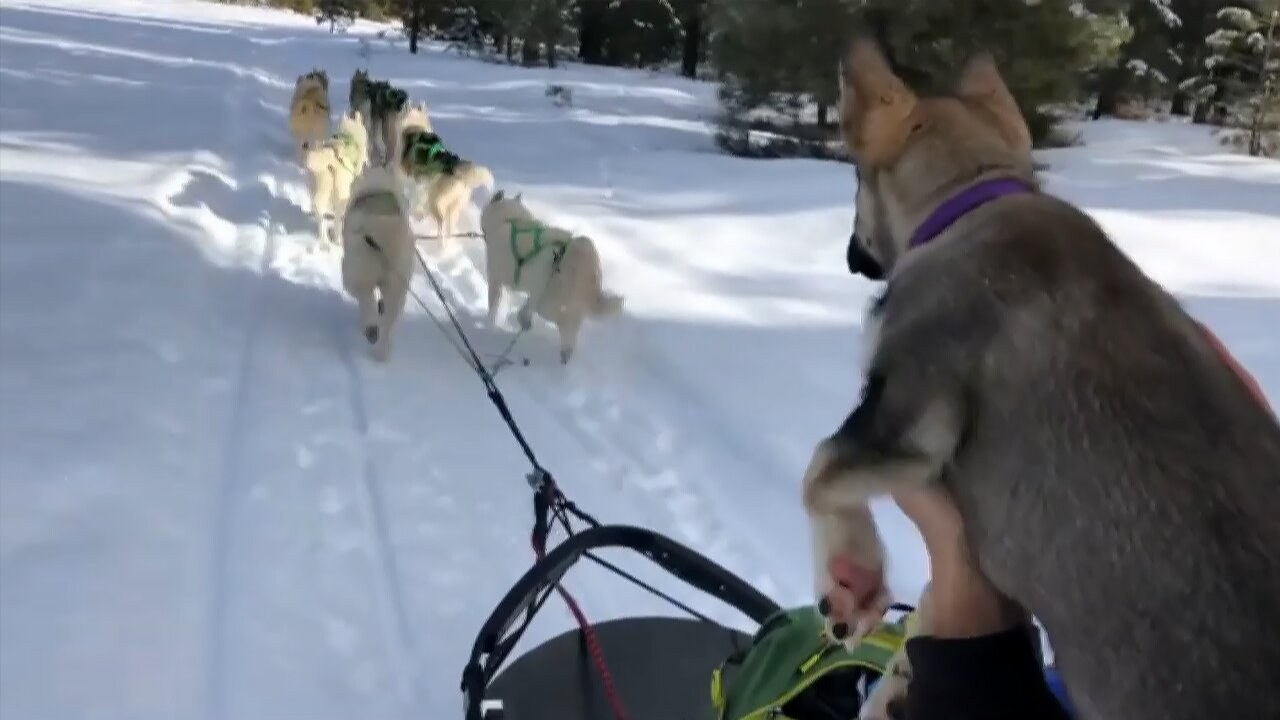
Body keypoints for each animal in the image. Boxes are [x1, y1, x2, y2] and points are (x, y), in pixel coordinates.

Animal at [803, 37, 1280, 717]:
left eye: (853, 183)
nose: (849, 253)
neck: (970, 196)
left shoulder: (911, 415)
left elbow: (818, 472)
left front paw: (850, 580)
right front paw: (895, 679)